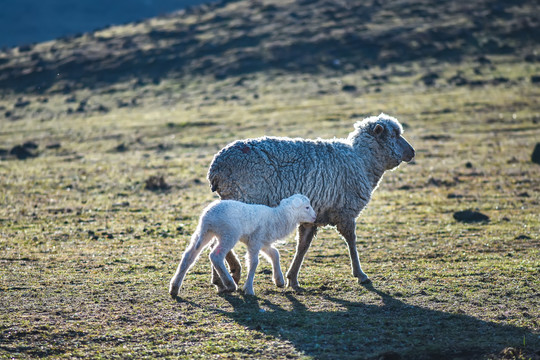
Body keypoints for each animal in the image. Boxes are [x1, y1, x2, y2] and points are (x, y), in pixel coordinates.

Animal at [169, 194, 316, 298]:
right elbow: (254, 262)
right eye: (307, 207)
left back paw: (174, 287)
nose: (315, 217)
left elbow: (275, 253)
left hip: (204, 233)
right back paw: (230, 284)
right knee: (215, 256)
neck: (277, 217)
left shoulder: (262, 242)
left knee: (189, 255)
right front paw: (249, 289)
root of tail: (207, 217)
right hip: (229, 233)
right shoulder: (255, 241)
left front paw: (279, 280)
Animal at [209, 114, 416, 292]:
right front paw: (360, 274)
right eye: (395, 135)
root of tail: (216, 168)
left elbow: (303, 246)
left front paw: (292, 278)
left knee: (214, 241)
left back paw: (220, 280)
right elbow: (351, 241)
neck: (362, 161)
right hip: (241, 201)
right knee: (220, 242)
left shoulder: (313, 217)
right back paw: (232, 274)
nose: (413, 152)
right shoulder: (345, 212)